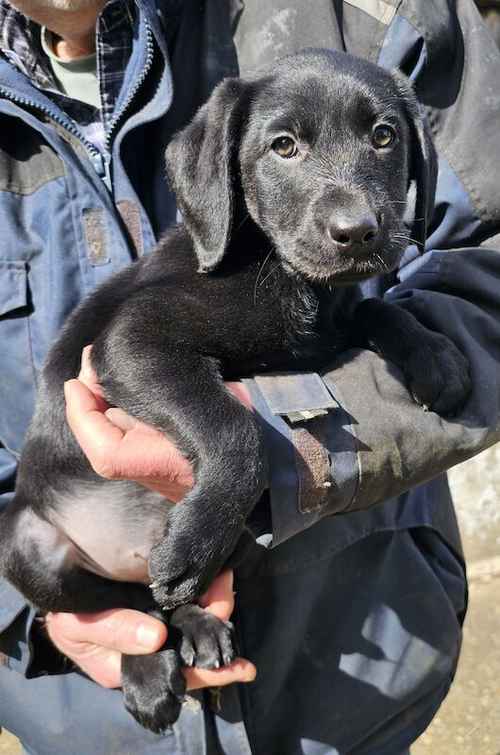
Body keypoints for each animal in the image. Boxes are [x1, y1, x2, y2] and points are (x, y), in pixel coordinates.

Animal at [0, 51, 468, 732]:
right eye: (284, 146)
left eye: (384, 136)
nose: (357, 231)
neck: (287, 278)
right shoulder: (134, 340)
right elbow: (235, 428)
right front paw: (195, 544)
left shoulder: (329, 328)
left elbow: (376, 311)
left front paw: (435, 354)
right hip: (25, 548)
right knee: (134, 608)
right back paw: (151, 658)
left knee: (152, 602)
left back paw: (196, 622)